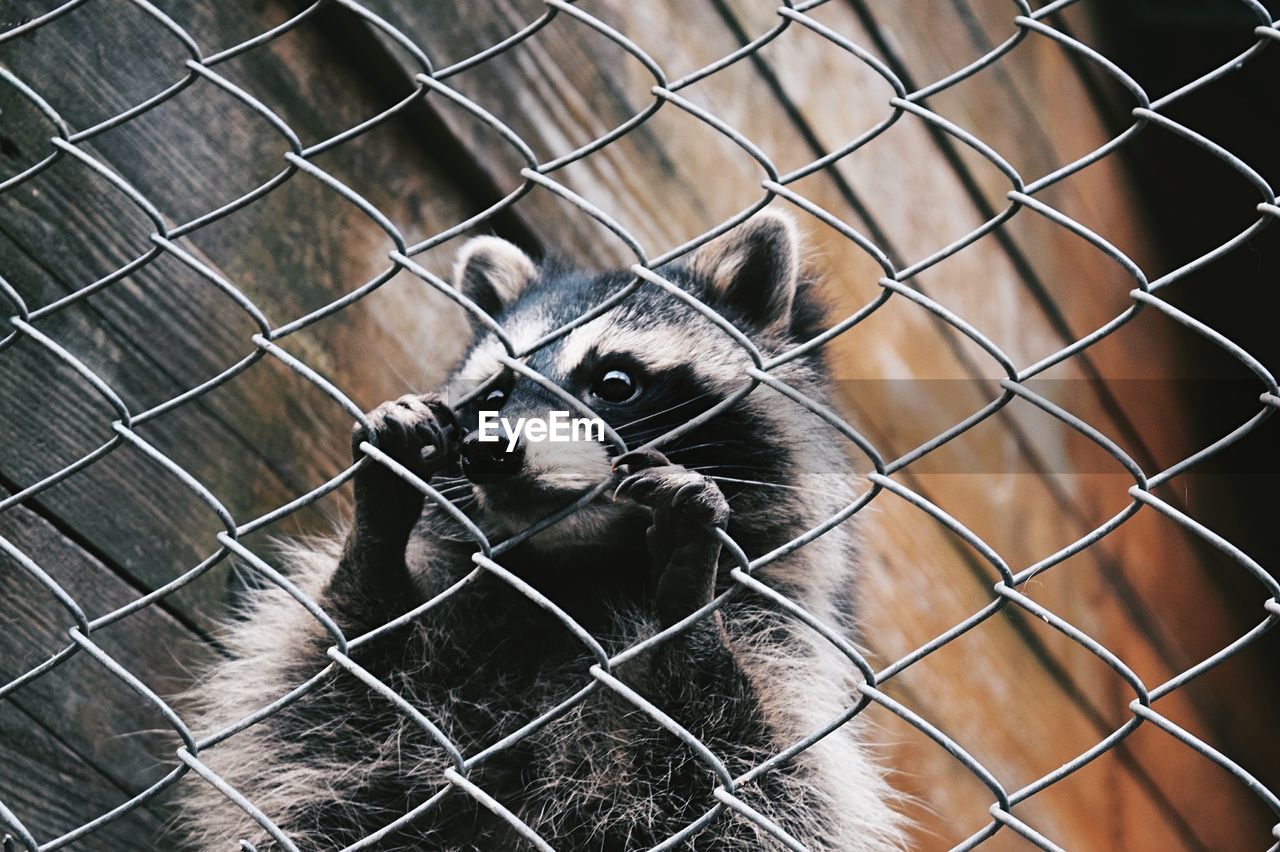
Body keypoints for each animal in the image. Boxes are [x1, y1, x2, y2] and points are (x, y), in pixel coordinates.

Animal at [180, 212, 906, 849]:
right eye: (495, 395)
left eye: (615, 382)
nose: (488, 450)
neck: (575, 570)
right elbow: (330, 702)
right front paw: (379, 529)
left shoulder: (783, 645)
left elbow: (751, 783)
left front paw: (688, 608)